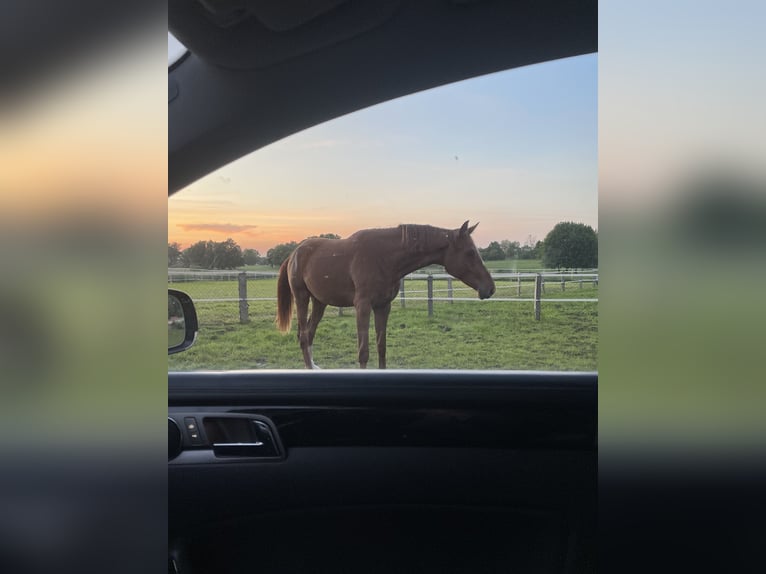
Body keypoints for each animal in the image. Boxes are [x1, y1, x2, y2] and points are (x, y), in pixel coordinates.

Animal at [276, 221, 495, 369]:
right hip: (301, 298)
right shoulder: (363, 306)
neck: (384, 256)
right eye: (470, 252)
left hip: (320, 302)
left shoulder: (383, 306)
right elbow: (363, 352)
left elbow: (381, 347)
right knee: (304, 336)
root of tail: (294, 254)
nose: (490, 288)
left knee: (309, 334)